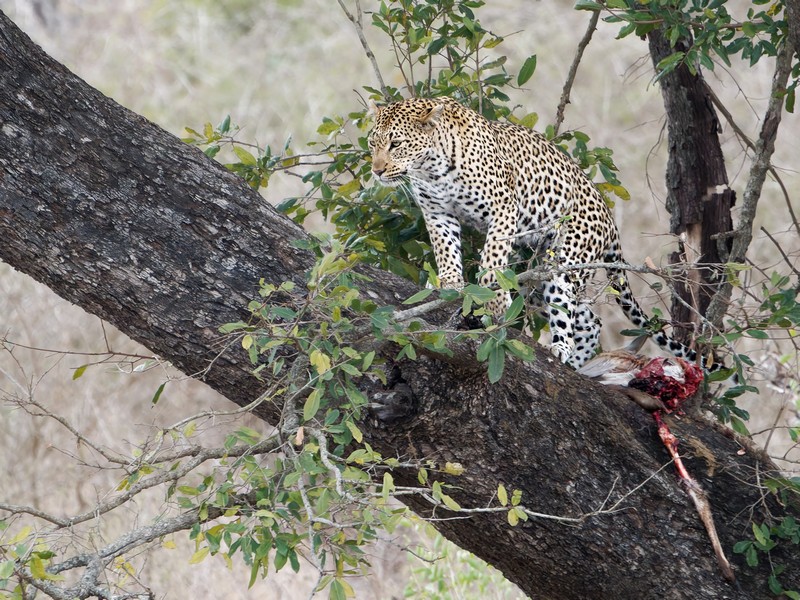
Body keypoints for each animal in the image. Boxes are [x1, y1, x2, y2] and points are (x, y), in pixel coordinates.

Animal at [368, 95, 700, 368]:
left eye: (396, 144)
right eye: (373, 143)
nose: (377, 170)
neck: (430, 169)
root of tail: (609, 220)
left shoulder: (503, 205)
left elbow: (492, 257)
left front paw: (493, 297)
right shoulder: (437, 212)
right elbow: (445, 248)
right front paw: (450, 283)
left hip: (565, 263)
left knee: (569, 310)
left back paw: (561, 349)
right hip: (537, 278)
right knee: (590, 320)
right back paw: (574, 362)